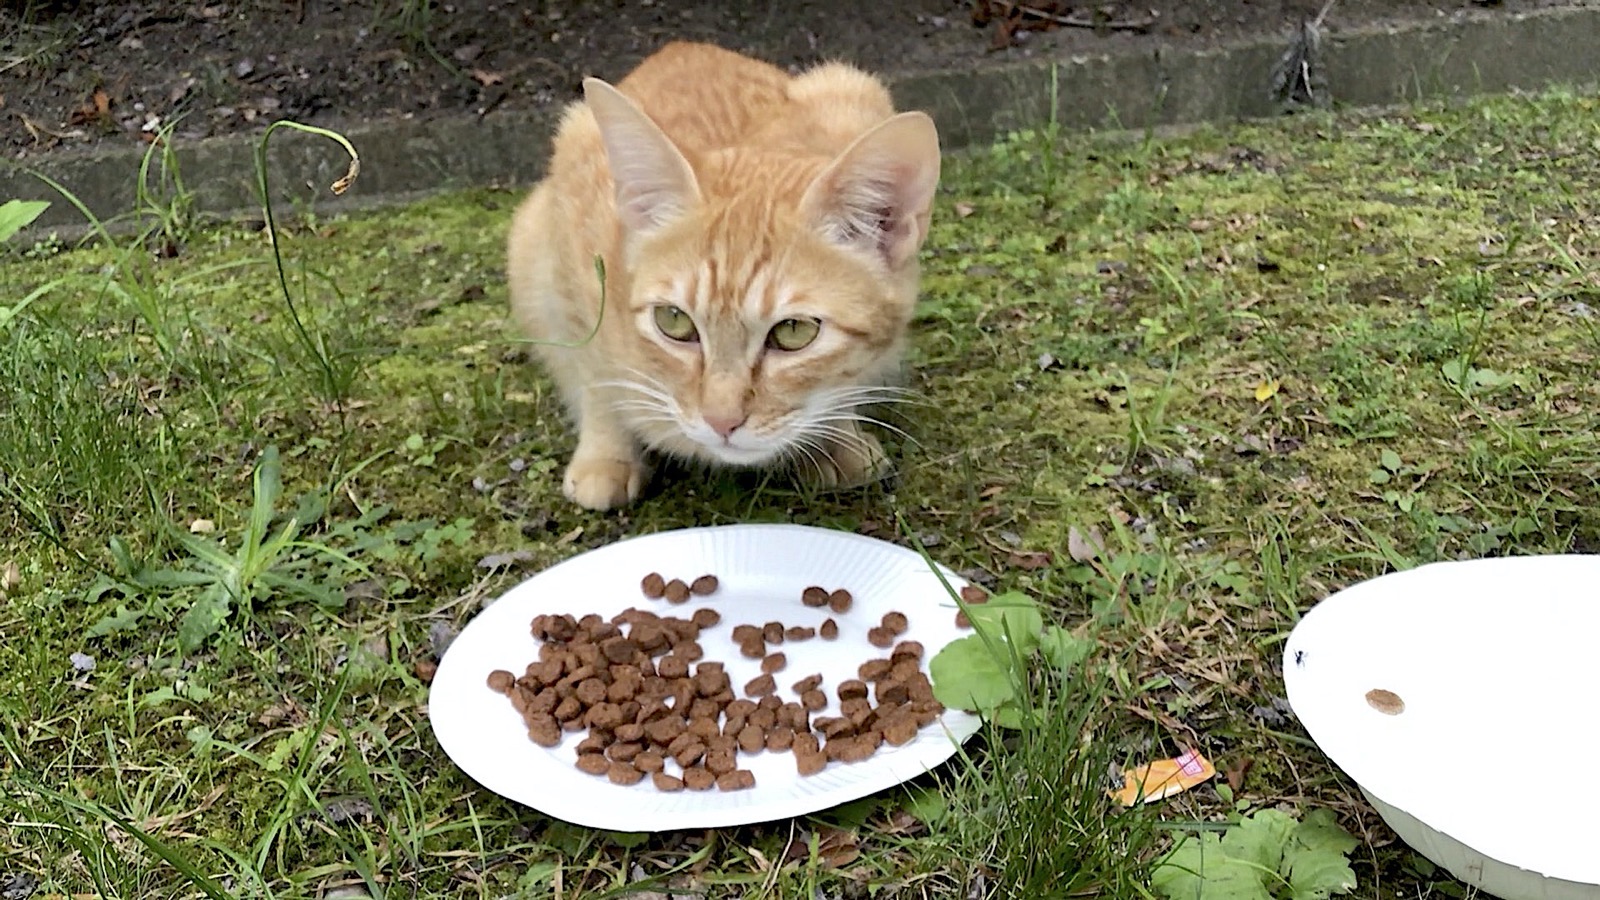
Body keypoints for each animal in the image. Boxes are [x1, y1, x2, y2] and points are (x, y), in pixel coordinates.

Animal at [508, 42, 934, 509]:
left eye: (795, 331)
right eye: (673, 321)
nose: (721, 422)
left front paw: (837, 439)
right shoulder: (570, 252)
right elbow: (594, 374)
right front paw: (607, 455)